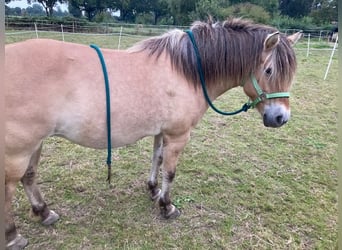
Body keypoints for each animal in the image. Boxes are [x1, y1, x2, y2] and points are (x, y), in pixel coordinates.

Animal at [4, 18, 300, 248]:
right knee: (8, 188)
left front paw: (153, 189)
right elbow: (170, 171)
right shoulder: (179, 135)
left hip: (35, 144)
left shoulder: (163, 132)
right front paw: (167, 206)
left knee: (29, 177)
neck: (188, 71)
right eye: (269, 70)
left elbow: (156, 159)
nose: (280, 118)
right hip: (19, 149)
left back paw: (44, 213)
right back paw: (12, 236)